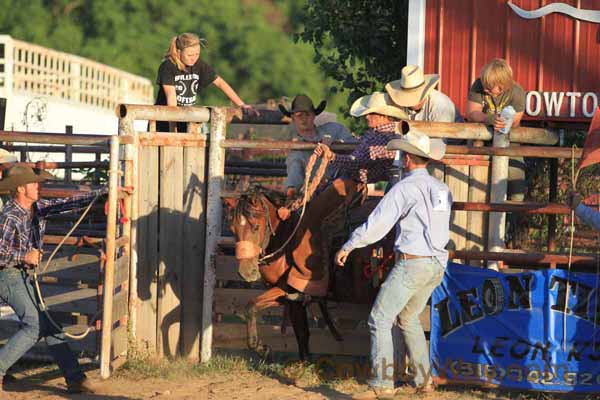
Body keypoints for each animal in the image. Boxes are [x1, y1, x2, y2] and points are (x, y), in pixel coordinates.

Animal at [224, 187, 342, 360]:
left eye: (256, 227)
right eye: (233, 229)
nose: (246, 273)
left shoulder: (289, 290)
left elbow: (253, 305)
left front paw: (262, 348)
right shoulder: (289, 298)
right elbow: (301, 332)